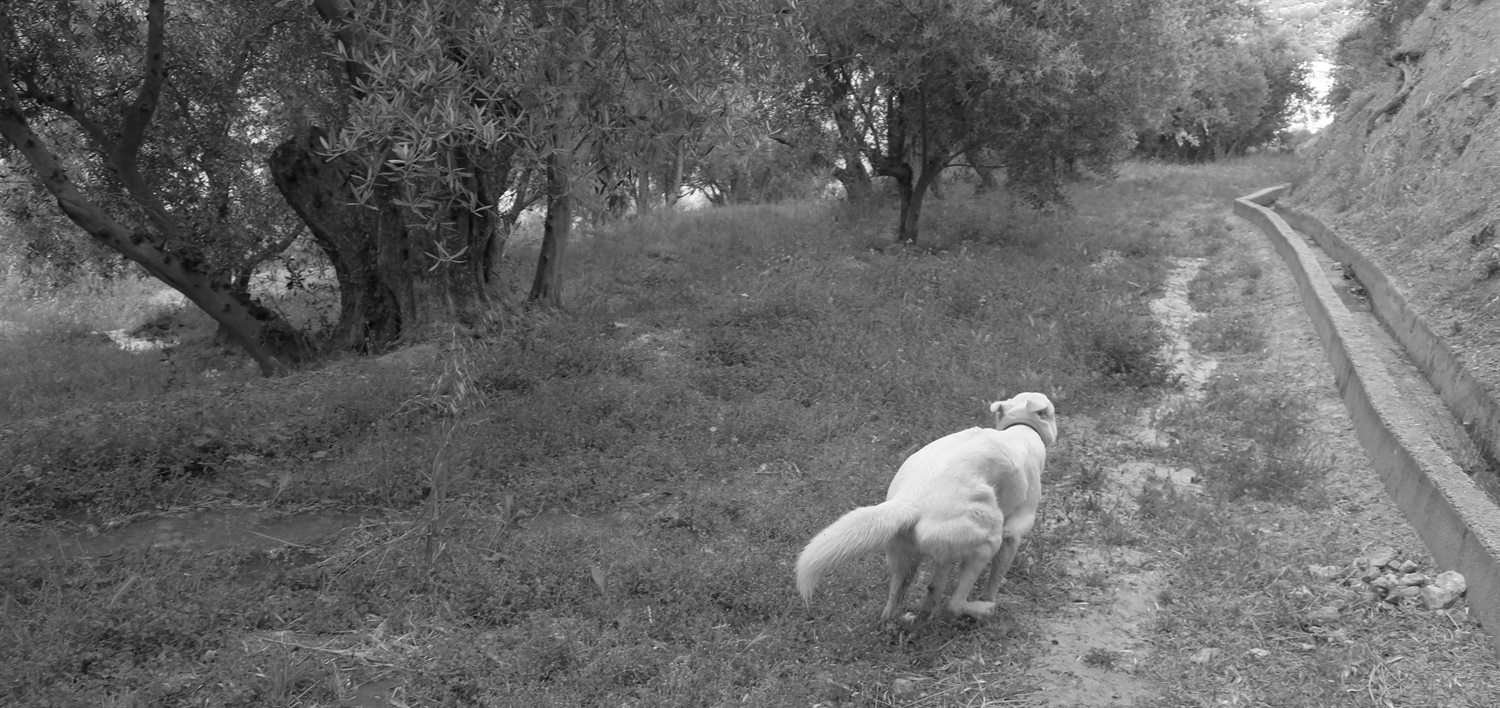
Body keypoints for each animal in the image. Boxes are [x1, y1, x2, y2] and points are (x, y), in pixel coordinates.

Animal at [798, 393, 1056, 618]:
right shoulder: (1012, 534)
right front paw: (989, 599)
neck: (1022, 429)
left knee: (895, 606)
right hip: (988, 540)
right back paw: (982, 610)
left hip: (906, 559)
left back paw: (911, 619)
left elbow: (935, 585)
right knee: (954, 604)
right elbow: (995, 579)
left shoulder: (946, 556)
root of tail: (910, 502)